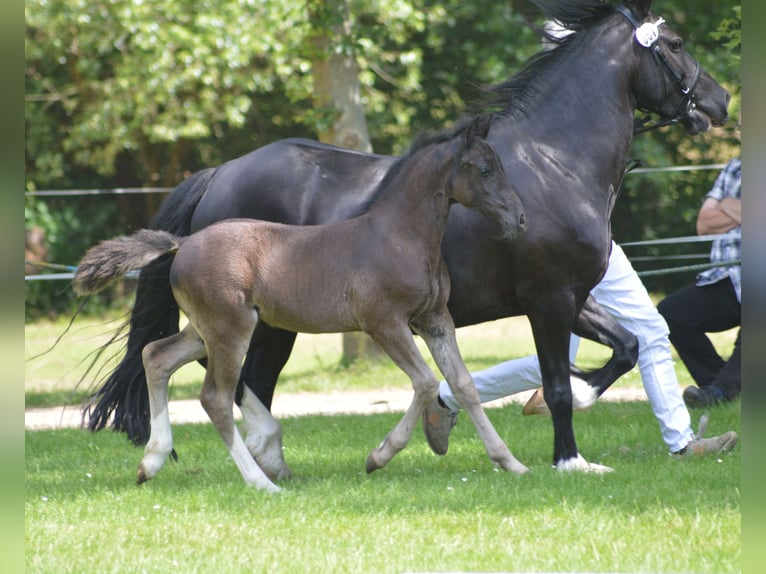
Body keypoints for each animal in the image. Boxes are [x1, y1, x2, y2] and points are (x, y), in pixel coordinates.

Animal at [84, 0, 732, 474]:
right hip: (262, 324)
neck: (554, 164)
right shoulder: (547, 300)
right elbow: (556, 384)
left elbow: (627, 346)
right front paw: (567, 457)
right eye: (675, 45)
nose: (721, 101)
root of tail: (219, 175)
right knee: (242, 387)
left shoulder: (574, 298)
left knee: (236, 385)